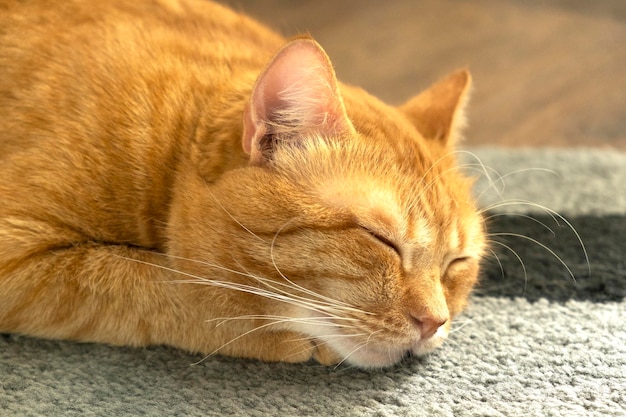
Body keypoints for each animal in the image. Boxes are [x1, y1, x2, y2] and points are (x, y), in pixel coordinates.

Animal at [0, 0, 482, 368]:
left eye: (456, 263)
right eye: (380, 239)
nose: (434, 322)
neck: (173, 147)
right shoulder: (18, 254)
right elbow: (175, 286)